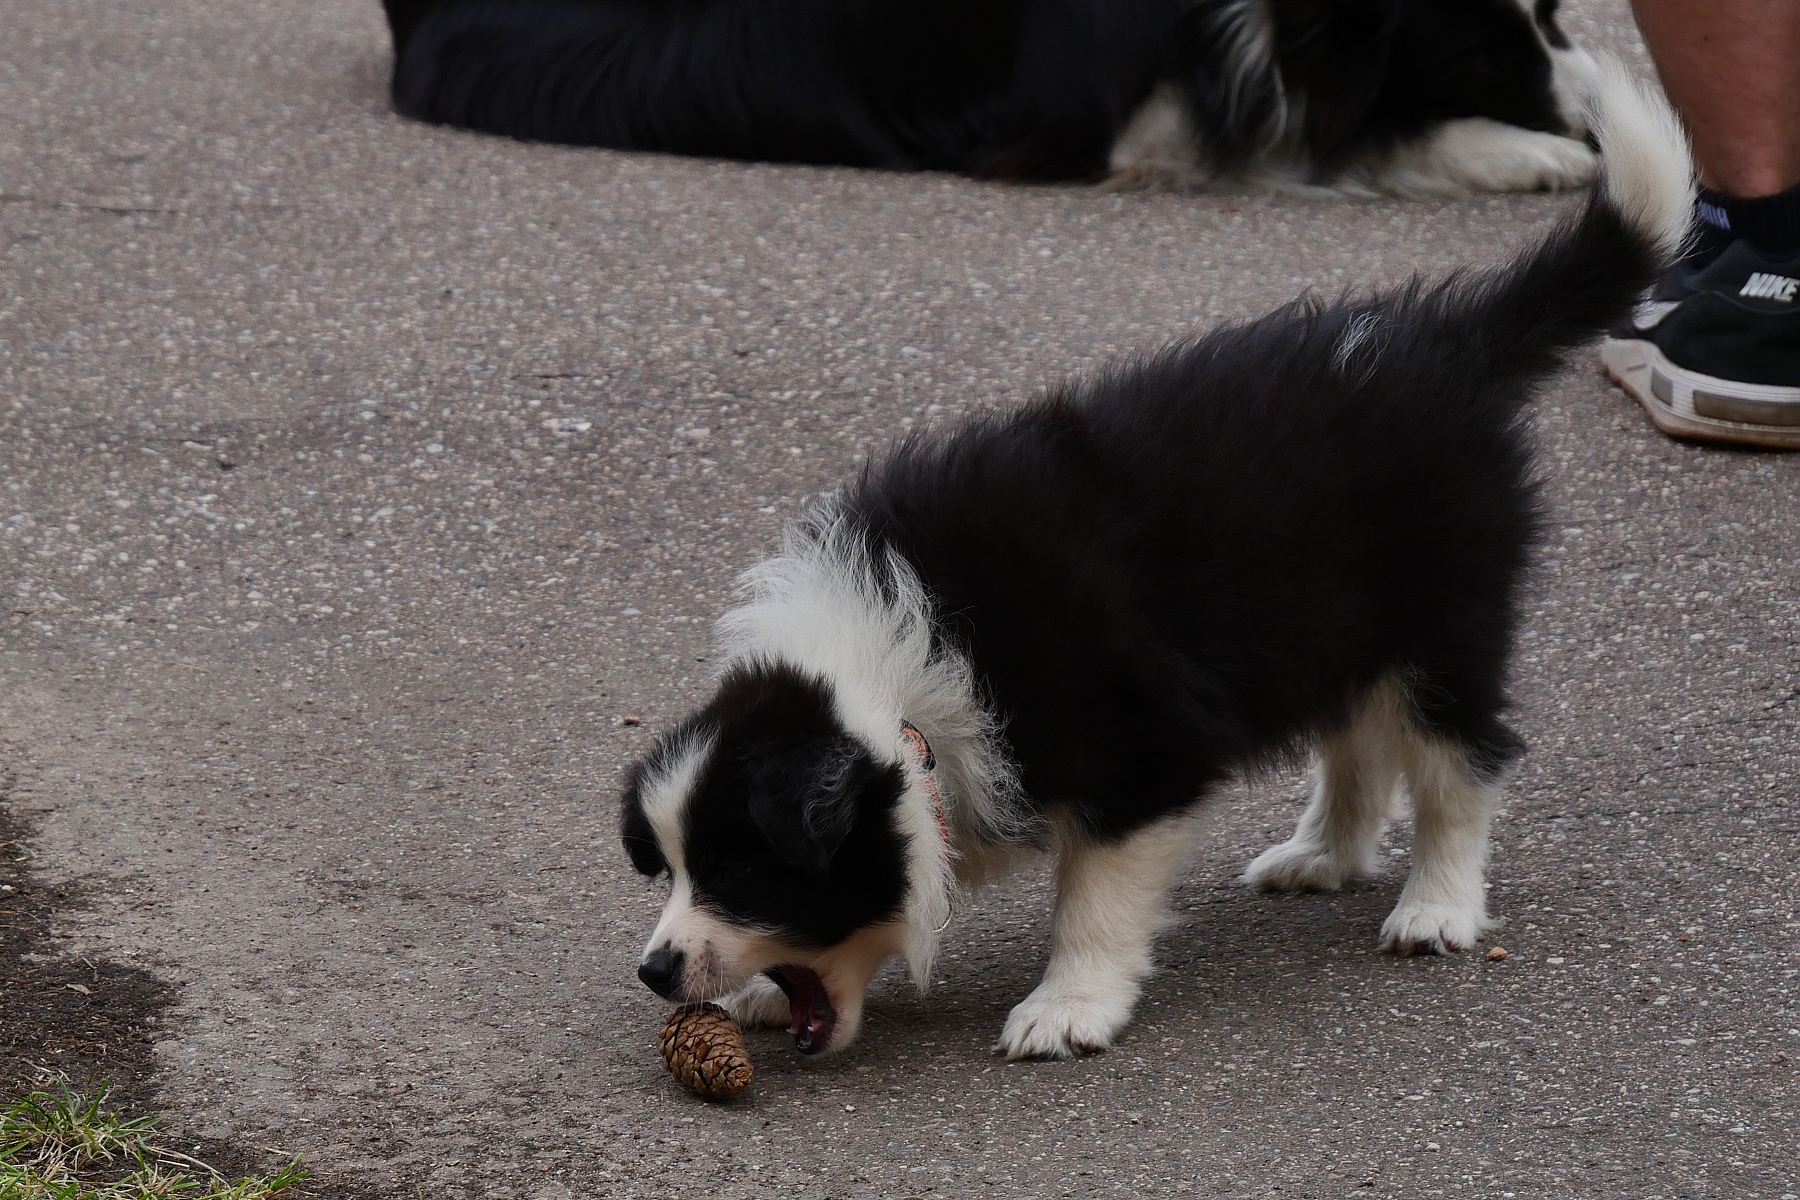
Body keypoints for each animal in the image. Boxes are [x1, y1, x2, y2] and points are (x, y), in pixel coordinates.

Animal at [620, 59, 1690, 1061]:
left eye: (742, 871)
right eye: (672, 869)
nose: (655, 971)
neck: (900, 683)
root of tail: (1454, 345)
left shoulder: (1139, 750)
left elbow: (1093, 894)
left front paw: (1068, 1007)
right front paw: (761, 998)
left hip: (1443, 611)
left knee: (1460, 760)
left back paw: (1438, 907)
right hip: (1329, 615)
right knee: (1356, 741)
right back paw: (1323, 856)